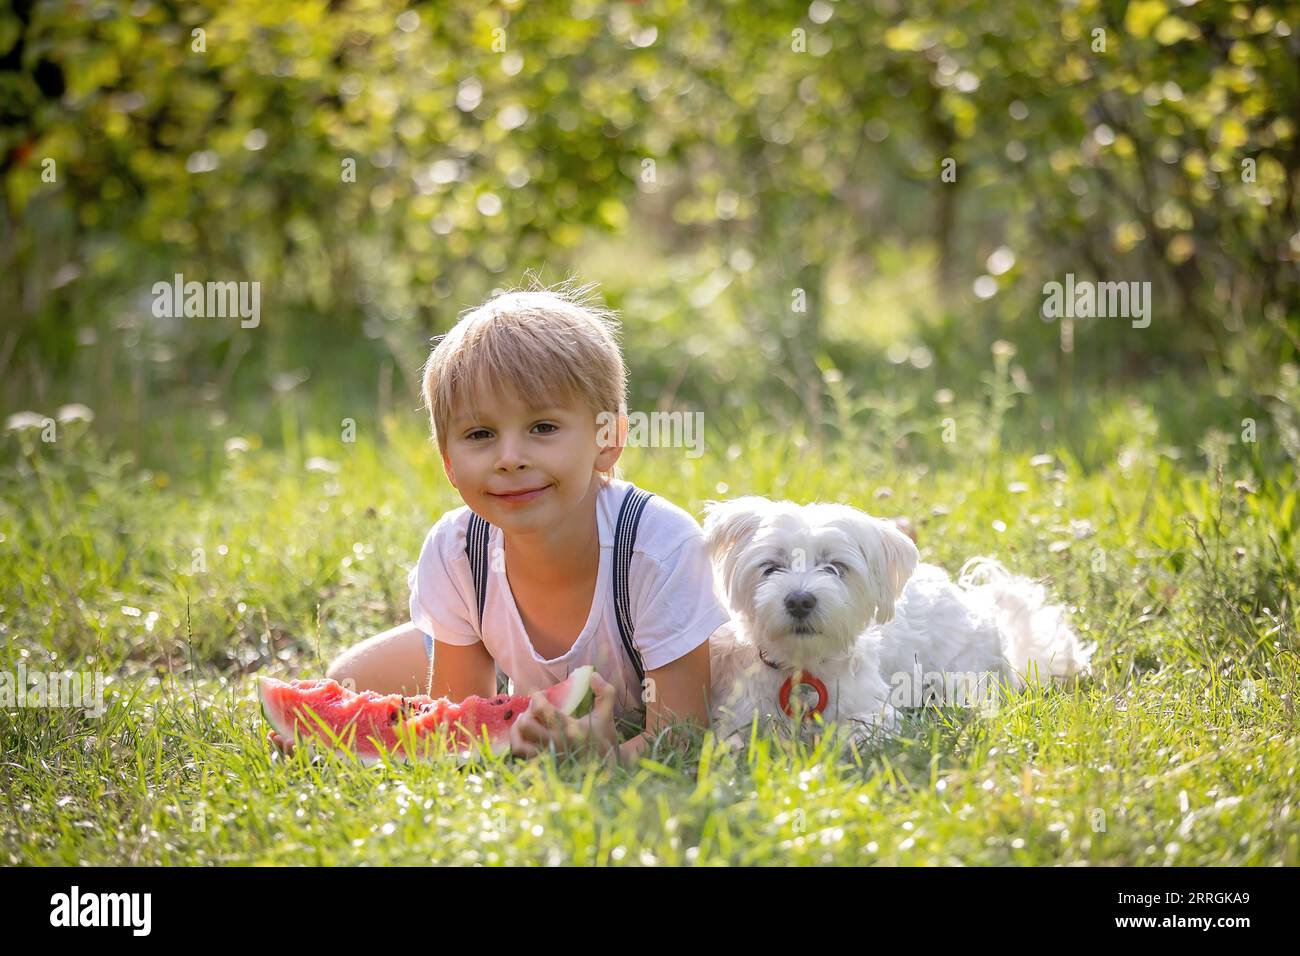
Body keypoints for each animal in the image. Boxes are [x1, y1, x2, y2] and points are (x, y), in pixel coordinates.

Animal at [702, 496, 1097, 749]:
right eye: (771, 567)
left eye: (835, 568)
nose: (800, 600)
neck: (802, 666)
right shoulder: (738, 717)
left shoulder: (871, 713)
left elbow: (856, 734)